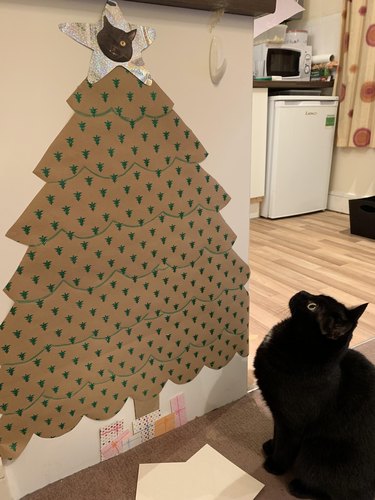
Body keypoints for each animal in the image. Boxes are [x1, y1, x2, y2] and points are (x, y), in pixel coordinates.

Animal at [256, 292, 375, 498]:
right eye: (316, 298)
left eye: (312, 306)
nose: (301, 292)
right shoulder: (278, 414)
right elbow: (276, 433)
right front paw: (271, 446)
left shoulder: (292, 423)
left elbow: (285, 445)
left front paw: (275, 465)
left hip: (313, 451)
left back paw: (298, 487)